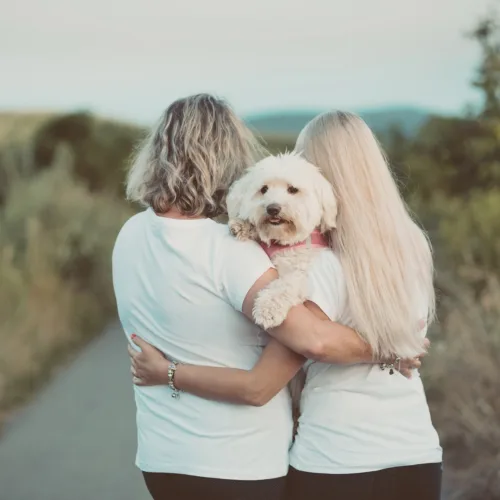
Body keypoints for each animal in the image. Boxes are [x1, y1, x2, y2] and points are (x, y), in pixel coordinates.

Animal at [228, 152, 338, 332]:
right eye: (264, 189)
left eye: (293, 189)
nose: (272, 208)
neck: (282, 242)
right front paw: (243, 225)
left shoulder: (301, 274)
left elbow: (286, 284)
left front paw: (267, 308)